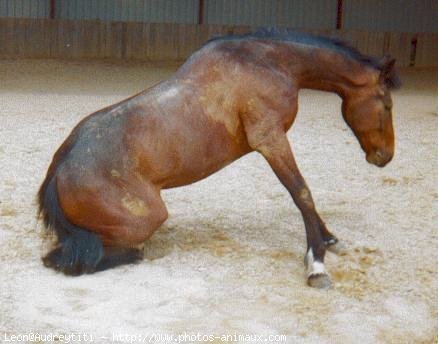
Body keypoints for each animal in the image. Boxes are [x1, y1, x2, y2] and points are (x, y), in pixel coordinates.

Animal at [37, 28, 400, 288]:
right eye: (386, 104)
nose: (384, 156)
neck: (269, 62)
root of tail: (59, 171)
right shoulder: (270, 139)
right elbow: (301, 192)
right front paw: (317, 265)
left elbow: (302, 194)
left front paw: (328, 238)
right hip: (147, 218)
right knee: (76, 258)